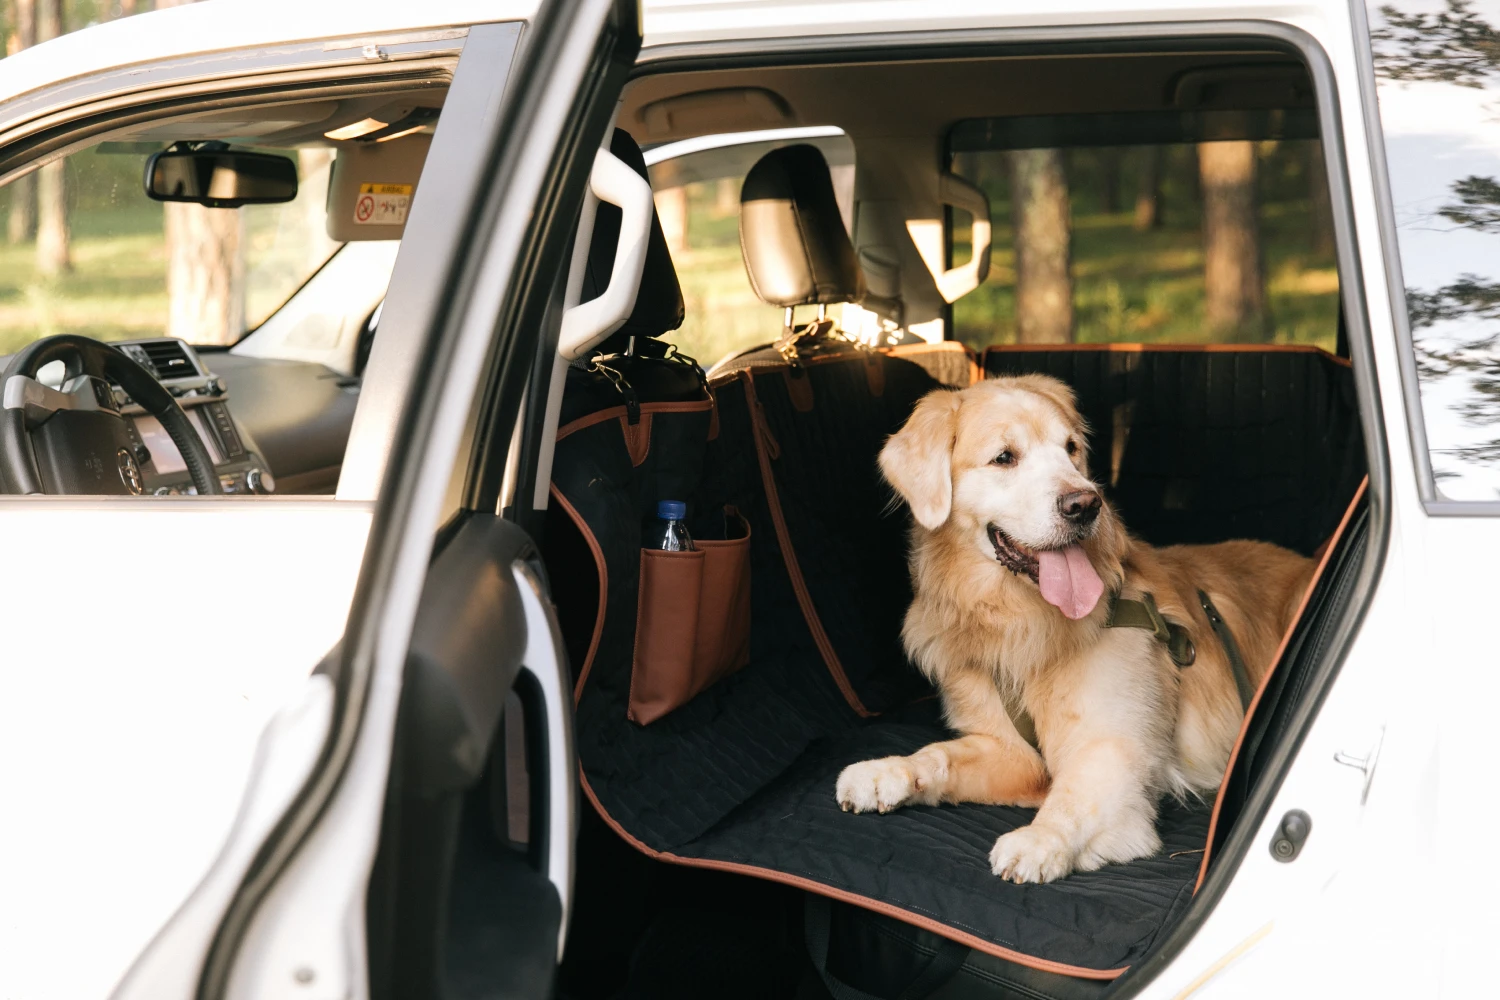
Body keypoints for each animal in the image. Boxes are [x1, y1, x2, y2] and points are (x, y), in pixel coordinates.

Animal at [834, 377, 1314, 881]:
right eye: (1004, 457)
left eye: (1071, 449)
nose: (1085, 505)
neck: (1019, 619)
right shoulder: (1011, 753)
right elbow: (938, 754)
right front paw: (885, 772)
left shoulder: (1112, 747)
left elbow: (1072, 799)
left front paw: (1040, 839)